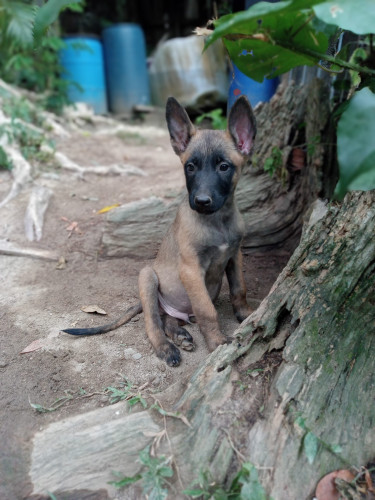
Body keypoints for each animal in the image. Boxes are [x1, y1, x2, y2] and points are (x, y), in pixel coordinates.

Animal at [63, 94, 258, 368]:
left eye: (224, 167)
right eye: (190, 167)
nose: (201, 201)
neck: (217, 221)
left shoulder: (234, 255)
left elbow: (239, 288)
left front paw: (246, 314)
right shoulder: (190, 270)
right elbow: (207, 310)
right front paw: (217, 342)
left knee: (169, 319)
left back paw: (180, 333)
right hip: (147, 277)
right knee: (153, 323)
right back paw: (167, 347)